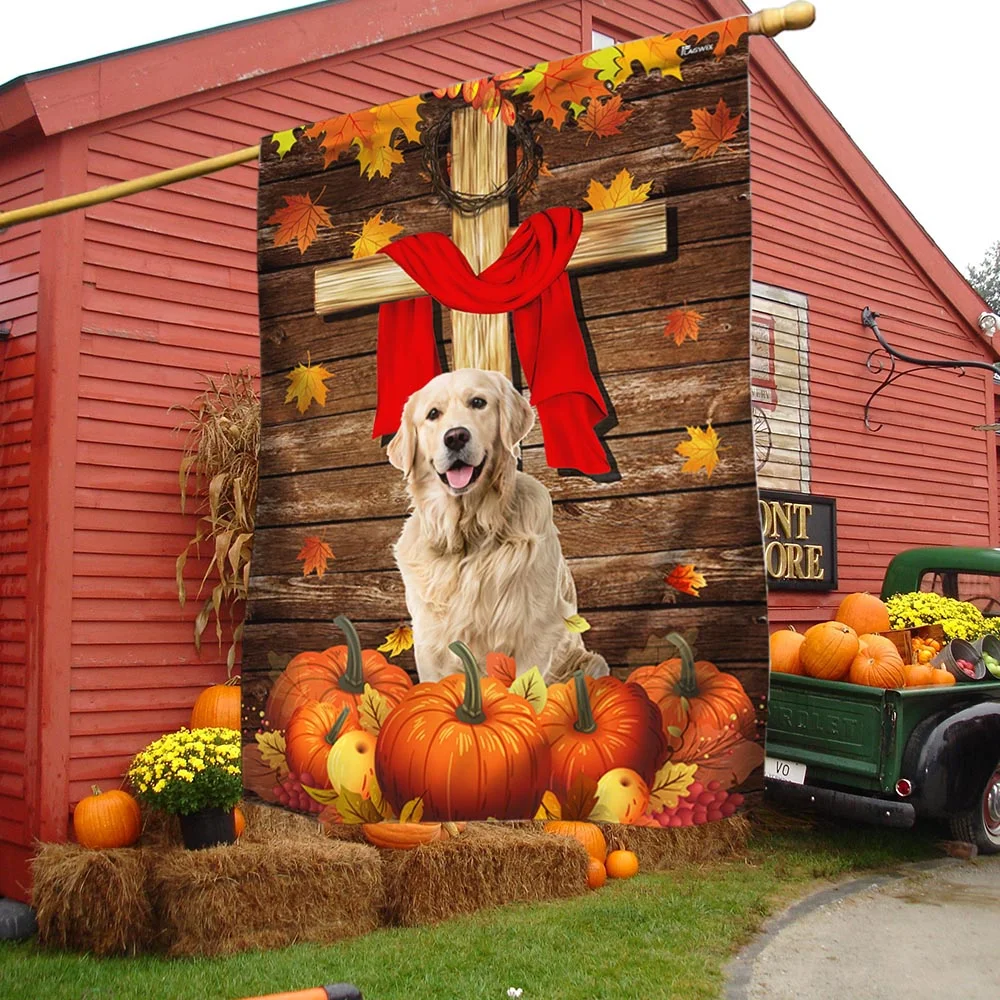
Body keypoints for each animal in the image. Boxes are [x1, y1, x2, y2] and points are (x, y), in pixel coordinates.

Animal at [386, 368, 608, 688]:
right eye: (433, 414)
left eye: (478, 402)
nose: (455, 437)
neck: (469, 533)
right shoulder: (429, 642)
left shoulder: (535, 634)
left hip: (592, 664)